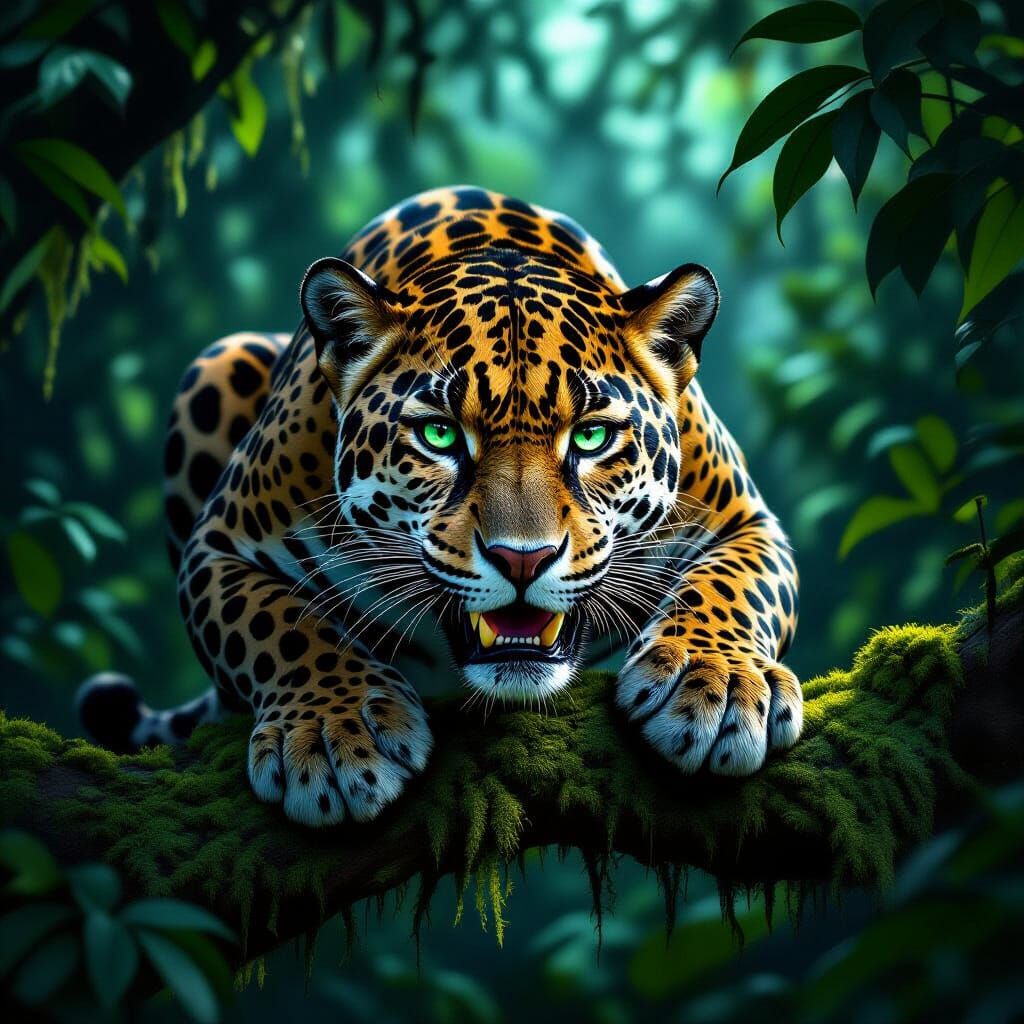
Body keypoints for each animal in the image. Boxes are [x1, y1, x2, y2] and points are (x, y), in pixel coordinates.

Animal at [78, 185, 803, 827]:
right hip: (219, 358)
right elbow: (278, 625)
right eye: (440, 435)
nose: (523, 559)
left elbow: (730, 587)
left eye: (592, 437)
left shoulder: (747, 522)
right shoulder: (218, 546)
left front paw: (716, 684)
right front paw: (333, 732)